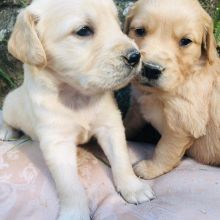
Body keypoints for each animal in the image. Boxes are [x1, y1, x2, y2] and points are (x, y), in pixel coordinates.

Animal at [0, 0, 155, 220]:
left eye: (116, 24)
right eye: (83, 31)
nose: (135, 56)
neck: (76, 95)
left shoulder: (111, 126)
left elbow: (121, 159)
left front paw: (133, 187)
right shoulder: (57, 143)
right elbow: (69, 184)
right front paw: (74, 211)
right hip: (12, 106)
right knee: (4, 115)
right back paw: (6, 131)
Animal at [124, 0, 220, 179]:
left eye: (185, 41)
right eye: (140, 31)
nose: (151, 69)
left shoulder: (183, 124)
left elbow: (165, 149)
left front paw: (150, 168)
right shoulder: (138, 105)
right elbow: (129, 123)